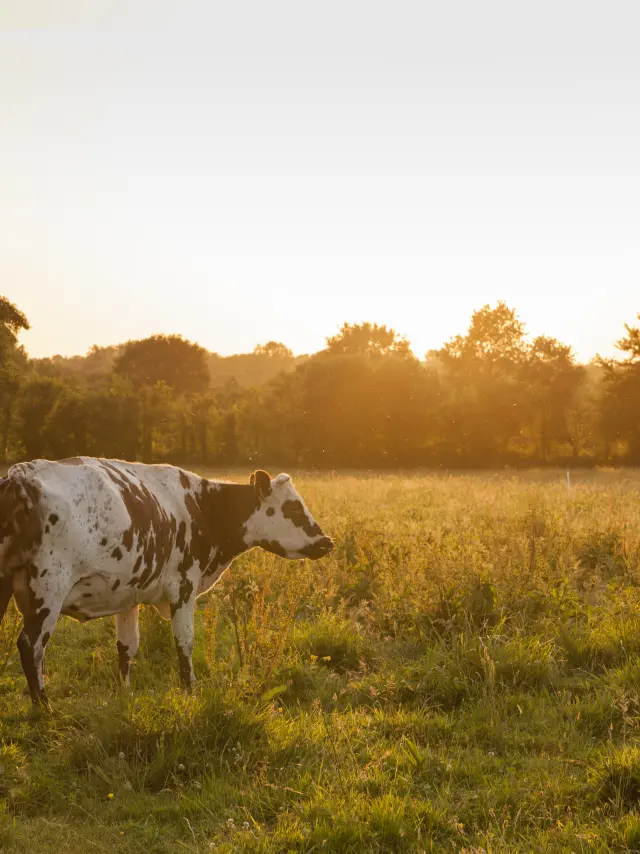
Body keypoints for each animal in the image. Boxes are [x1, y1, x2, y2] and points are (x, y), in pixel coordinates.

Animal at [0, 457, 333, 708]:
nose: (326, 541)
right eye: (293, 507)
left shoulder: (127, 593)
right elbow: (184, 642)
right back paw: (44, 707)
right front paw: (190, 691)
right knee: (31, 646)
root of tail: (20, 477)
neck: (202, 507)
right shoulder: (184, 587)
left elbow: (127, 646)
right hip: (49, 590)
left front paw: (124, 693)